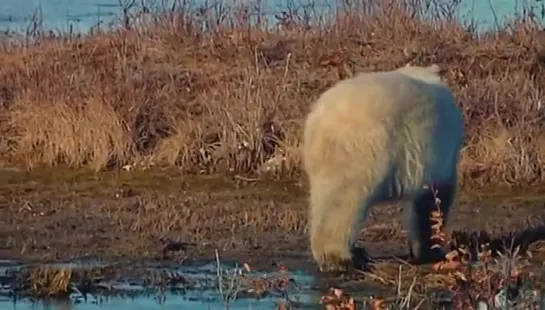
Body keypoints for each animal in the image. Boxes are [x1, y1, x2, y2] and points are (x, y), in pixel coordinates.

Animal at [302, 64, 464, 272]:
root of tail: (319, 120)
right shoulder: (439, 153)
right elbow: (432, 202)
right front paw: (431, 250)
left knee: (325, 198)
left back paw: (353, 253)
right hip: (364, 147)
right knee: (346, 200)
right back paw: (340, 258)